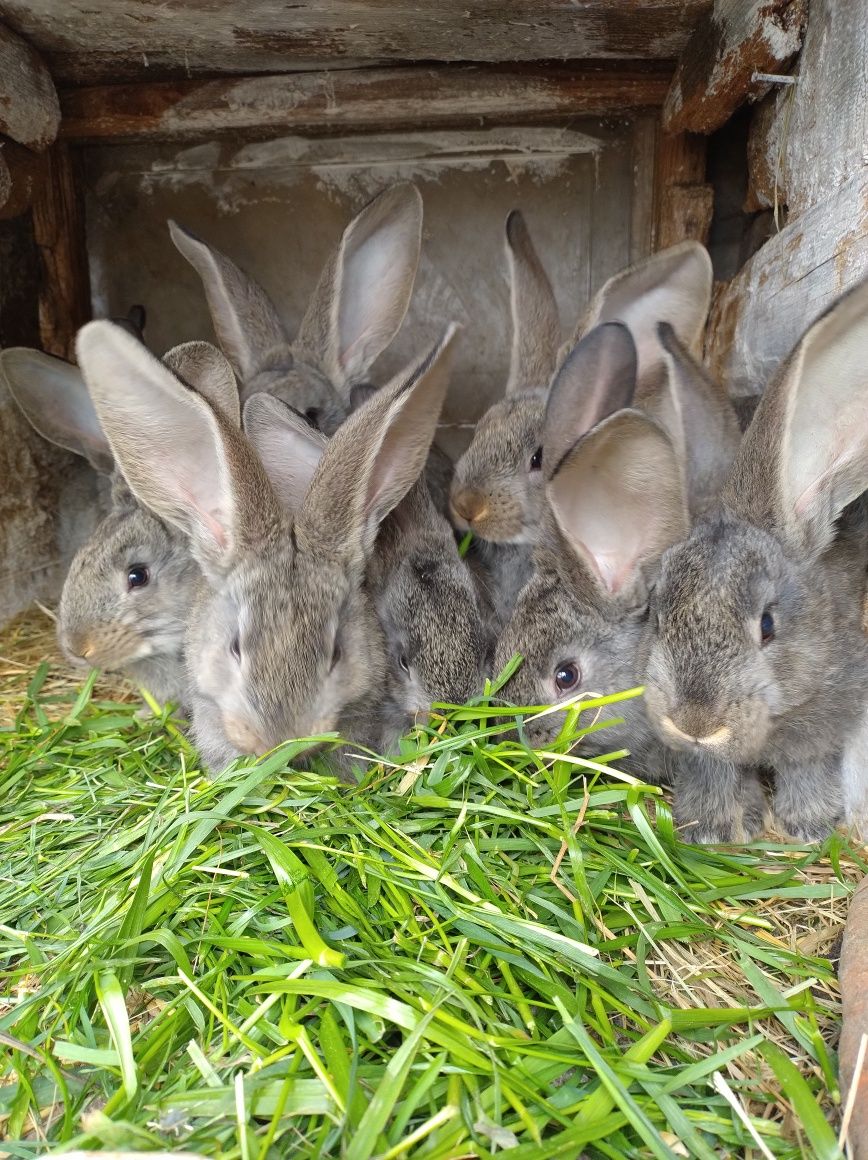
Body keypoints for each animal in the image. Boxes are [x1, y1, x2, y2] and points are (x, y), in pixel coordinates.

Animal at [635, 277, 868, 849]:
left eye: (767, 625)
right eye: (656, 616)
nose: (695, 723)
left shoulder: (825, 722)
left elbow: (806, 766)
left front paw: (807, 825)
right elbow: (714, 770)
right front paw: (715, 827)